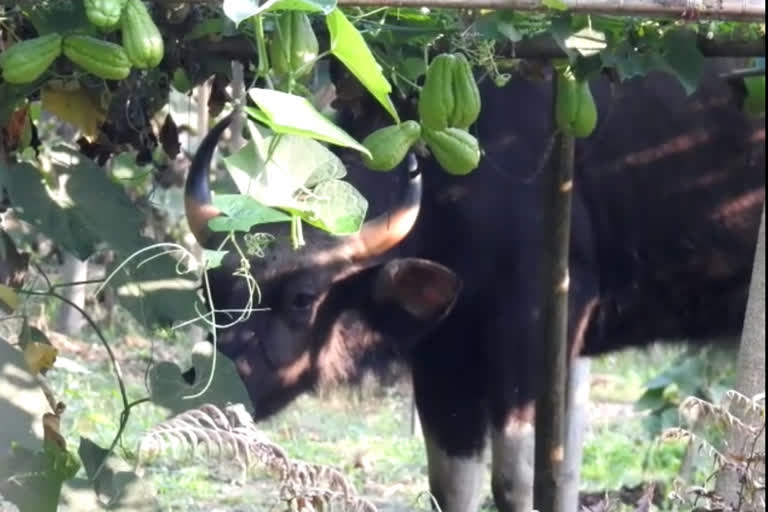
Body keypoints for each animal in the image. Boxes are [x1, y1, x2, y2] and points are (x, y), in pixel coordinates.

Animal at [183, 58, 764, 510]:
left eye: (303, 298)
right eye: (211, 289)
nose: (211, 393)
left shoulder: (534, 331)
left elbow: (518, 480)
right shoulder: (444, 350)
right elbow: (459, 482)